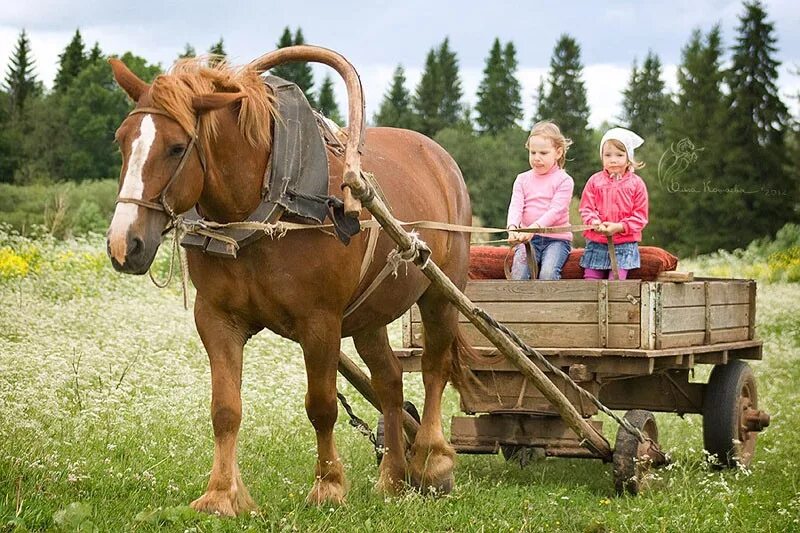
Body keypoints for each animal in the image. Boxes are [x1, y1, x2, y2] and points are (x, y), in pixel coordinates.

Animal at [106, 55, 476, 516]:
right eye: (122, 141)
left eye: (176, 147)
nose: (125, 244)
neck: (263, 207)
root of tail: (441, 159)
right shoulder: (216, 318)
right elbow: (225, 409)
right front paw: (221, 494)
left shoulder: (320, 322)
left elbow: (322, 407)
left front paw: (328, 486)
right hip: (369, 314)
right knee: (389, 382)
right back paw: (392, 477)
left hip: (440, 295)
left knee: (432, 370)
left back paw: (431, 462)